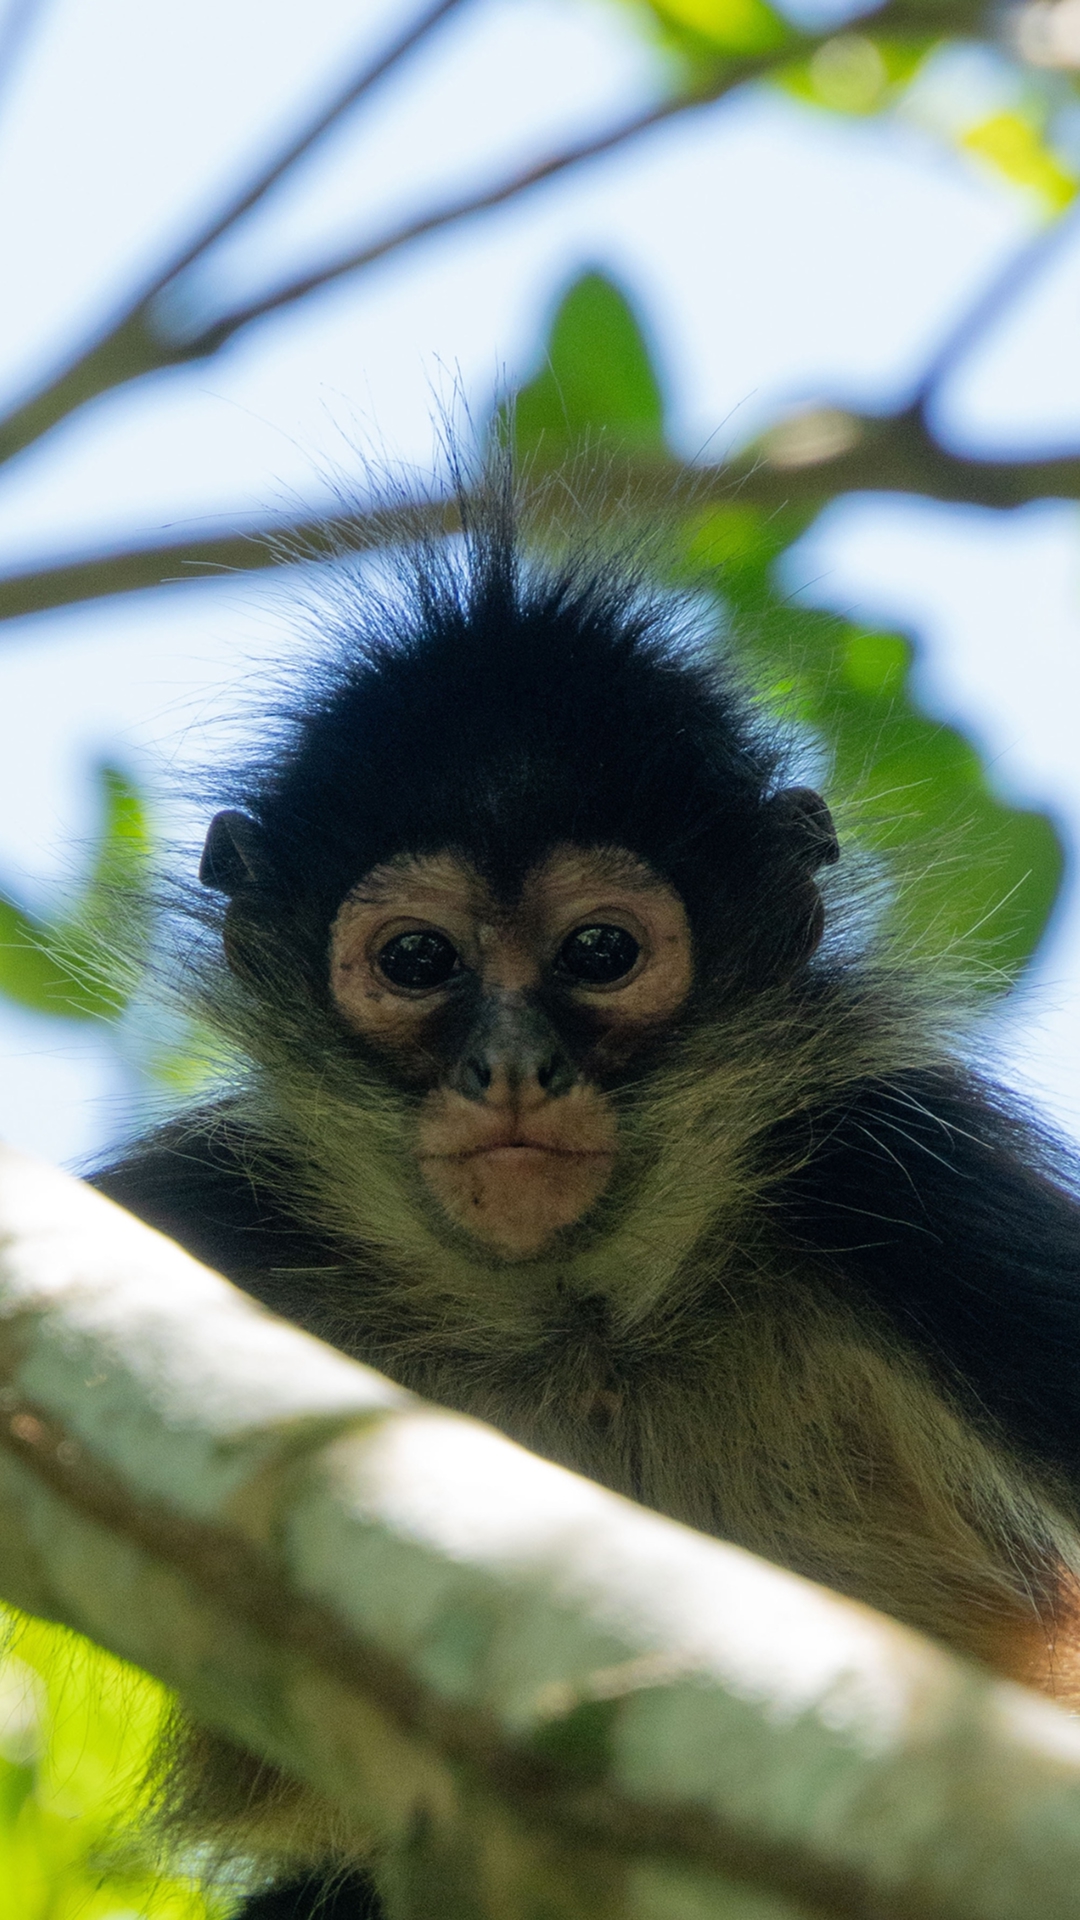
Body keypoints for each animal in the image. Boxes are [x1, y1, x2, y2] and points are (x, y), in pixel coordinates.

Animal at [91, 491, 1080, 1919]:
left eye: (599, 953)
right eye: (418, 961)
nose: (510, 1067)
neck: (573, 1323)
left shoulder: (889, 1177)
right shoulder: (206, 1208)